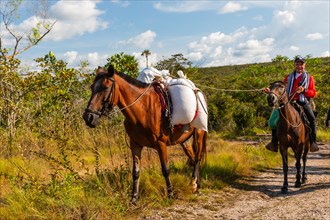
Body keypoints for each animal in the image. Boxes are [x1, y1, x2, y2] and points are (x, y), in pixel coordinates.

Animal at [82, 64, 206, 204]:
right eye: (92, 87)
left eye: (105, 88)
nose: (88, 117)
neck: (143, 109)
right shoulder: (135, 144)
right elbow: (135, 172)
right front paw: (134, 197)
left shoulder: (161, 144)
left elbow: (165, 170)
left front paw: (170, 194)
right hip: (184, 140)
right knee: (193, 158)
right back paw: (195, 184)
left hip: (199, 134)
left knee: (198, 158)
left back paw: (195, 185)